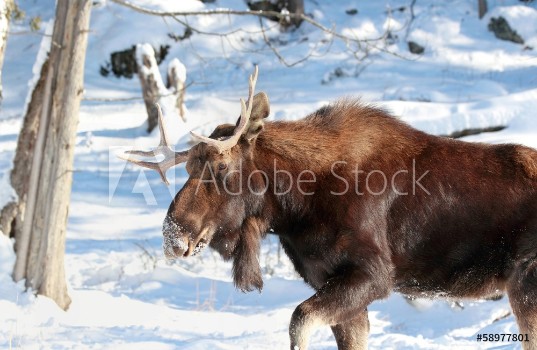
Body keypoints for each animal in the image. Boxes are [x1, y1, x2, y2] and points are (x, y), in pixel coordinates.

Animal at [121, 67, 536, 348]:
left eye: (222, 168)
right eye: (189, 168)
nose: (173, 236)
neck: (296, 208)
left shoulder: (373, 275)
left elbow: (298, 322)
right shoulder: (331, 282)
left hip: (525, 285)